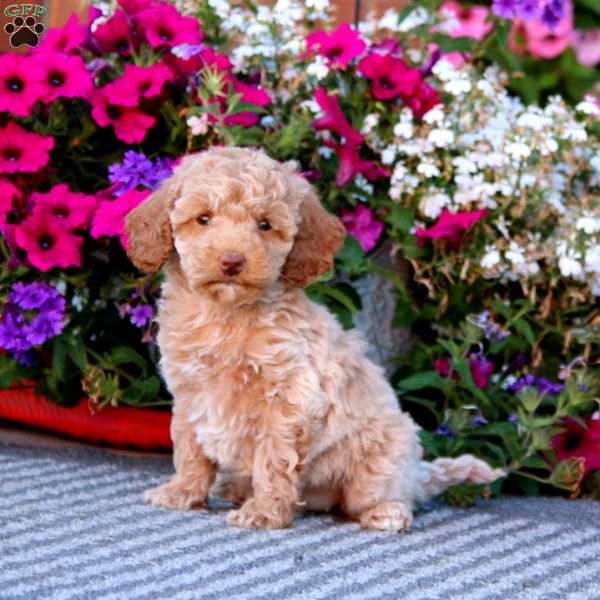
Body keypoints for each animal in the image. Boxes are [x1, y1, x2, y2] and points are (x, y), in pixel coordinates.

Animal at [123, 148, 502, 532]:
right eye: (203, 218)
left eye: (265, 225)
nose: (232, 261)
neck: (225, 314)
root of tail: (415, 474)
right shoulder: (189, 392)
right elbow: (189, 447)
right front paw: (183, 492)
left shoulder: (290, 397)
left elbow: (273, 458)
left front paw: (265, 512)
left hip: (381, 457)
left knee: (384, 494)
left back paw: (387, 511)